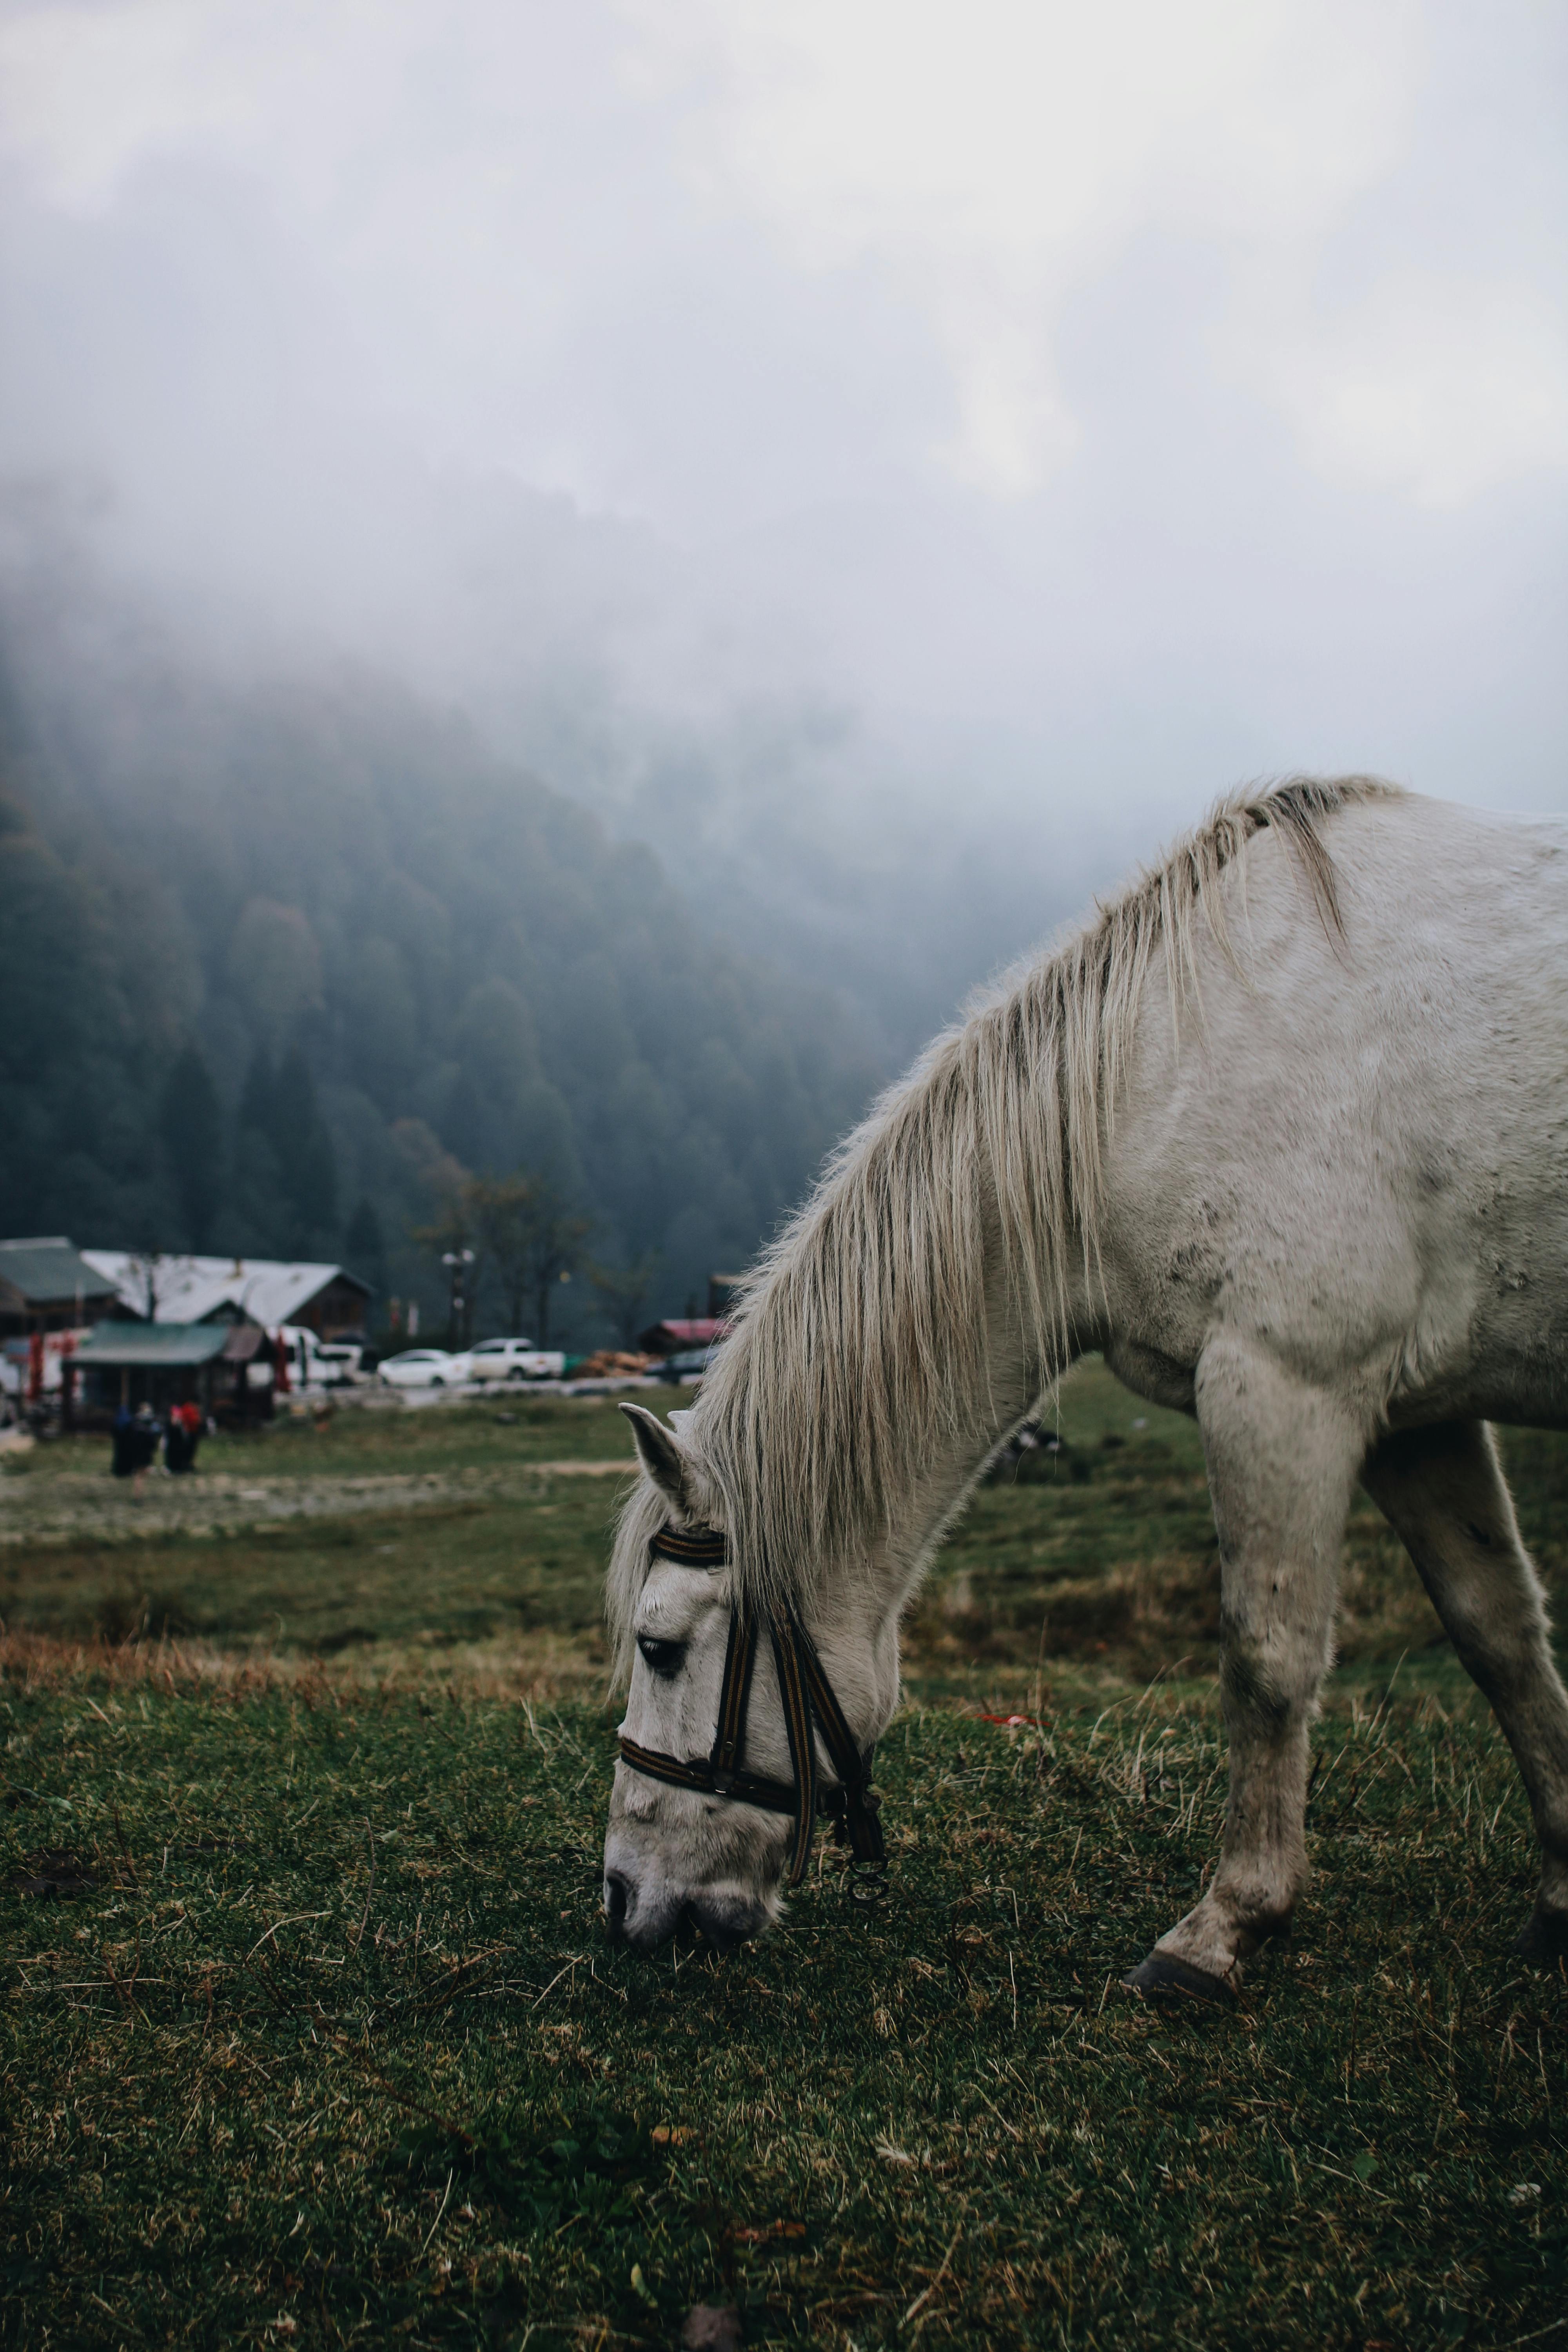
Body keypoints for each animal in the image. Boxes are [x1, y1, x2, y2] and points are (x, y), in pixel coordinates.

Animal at [602, 776, 1568, 2004]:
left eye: (660, 1648)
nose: (623, 1899)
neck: (1159, 1065)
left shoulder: (1283, 1383)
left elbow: (1268, 1656)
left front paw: (1224, 1925)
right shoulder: (1415, 1419)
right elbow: (1500, 1632)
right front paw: (1563, 1894)